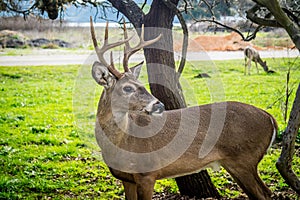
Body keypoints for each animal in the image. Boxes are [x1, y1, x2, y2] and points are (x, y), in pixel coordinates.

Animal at [90, 17, 278, 200]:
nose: (159, 104)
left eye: (141, 84)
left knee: (264, 193)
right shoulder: (126, 179)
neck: (122, 142)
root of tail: (269, 117)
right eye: (127, 88)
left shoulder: (147, 174)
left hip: (244, 159)